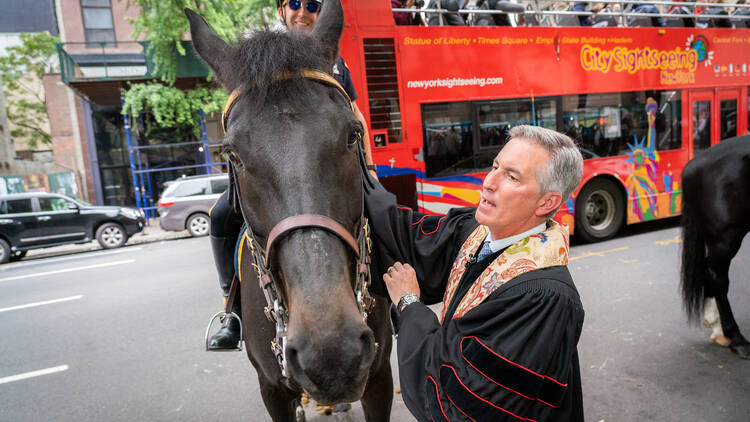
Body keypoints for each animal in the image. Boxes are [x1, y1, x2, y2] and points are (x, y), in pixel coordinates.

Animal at [680, 135, 750, 360]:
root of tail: (690, 167)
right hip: (725, 237)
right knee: (717, 278)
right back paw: (736, 338)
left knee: (708, 271)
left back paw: (718, 329)